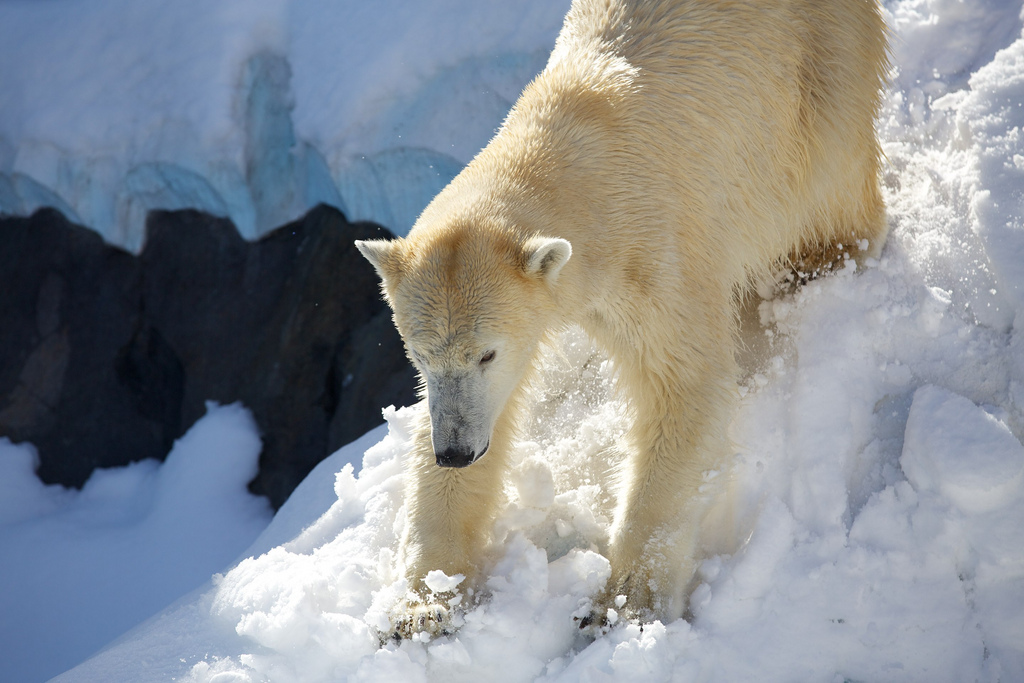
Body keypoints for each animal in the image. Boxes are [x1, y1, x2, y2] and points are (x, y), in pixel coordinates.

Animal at [356, 0, 884, 634]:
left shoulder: (652, 255)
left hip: (819, 76)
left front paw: (627, 603)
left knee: (827, 191)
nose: (455, 450)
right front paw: (422, 604)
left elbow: (683, 383)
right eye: (421, 355)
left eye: (486, 351)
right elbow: (490, 412)